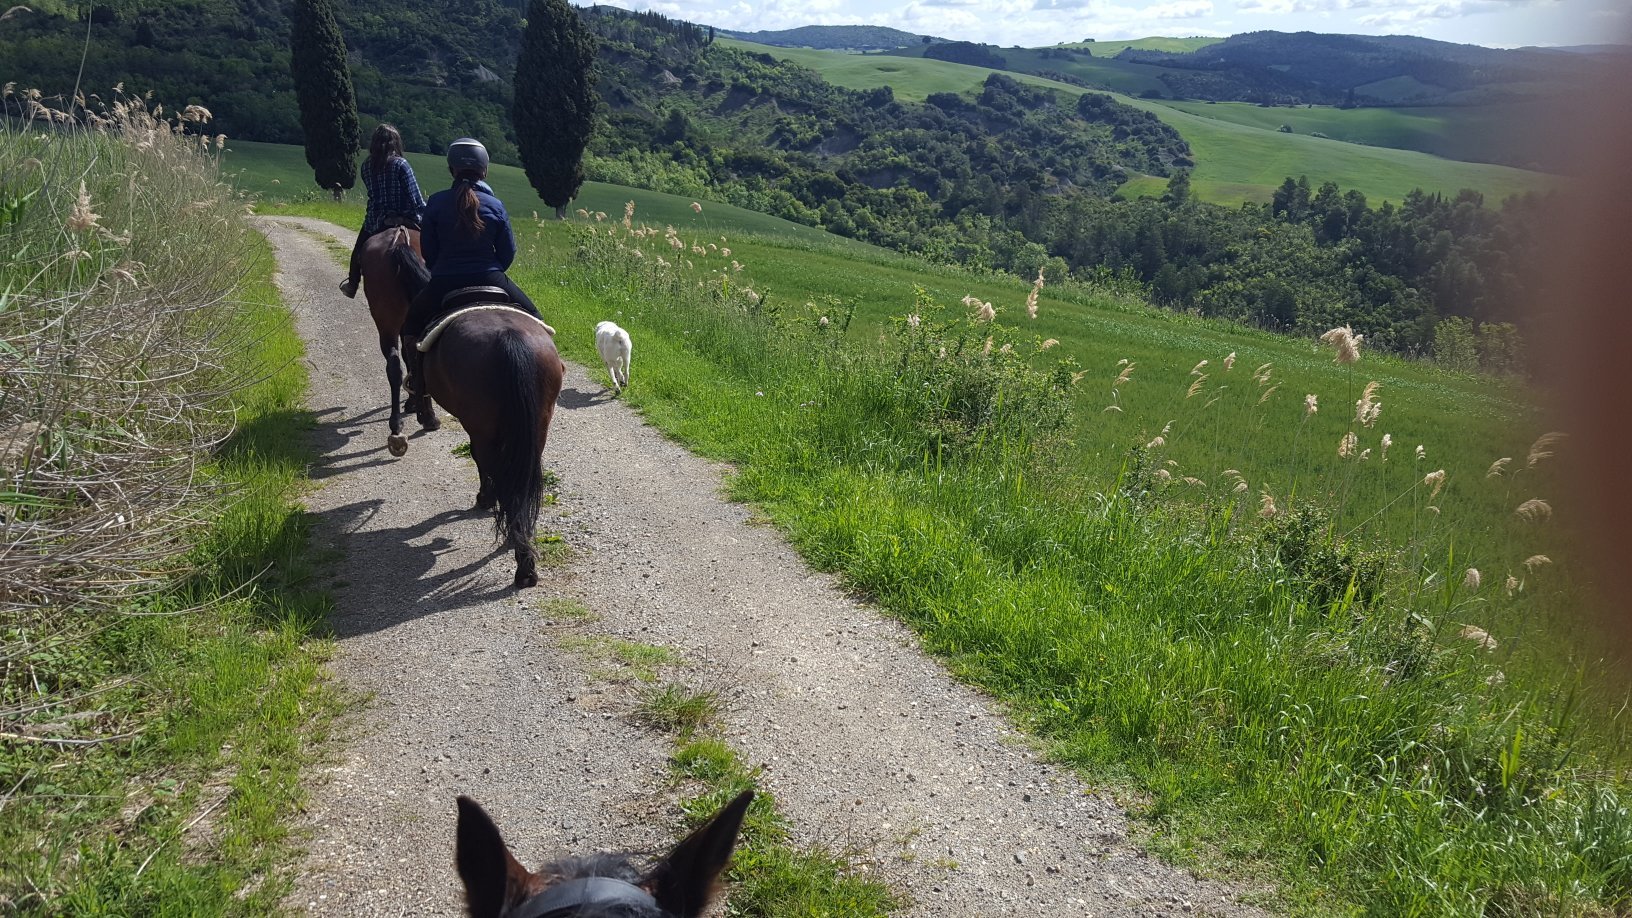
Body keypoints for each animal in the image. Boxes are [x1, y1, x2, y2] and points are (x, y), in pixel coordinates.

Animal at [357, 225, 434, 454]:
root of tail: (400, 239)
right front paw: (414, 404)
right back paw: (428, 419)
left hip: (387, 323)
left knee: (394, 365)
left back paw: (397, 426)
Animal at [388, 243, 567, 584]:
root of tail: (510, 338)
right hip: (538, 427)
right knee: (523, 478)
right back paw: (523, 550)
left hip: (482, 426)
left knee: (487, 462)